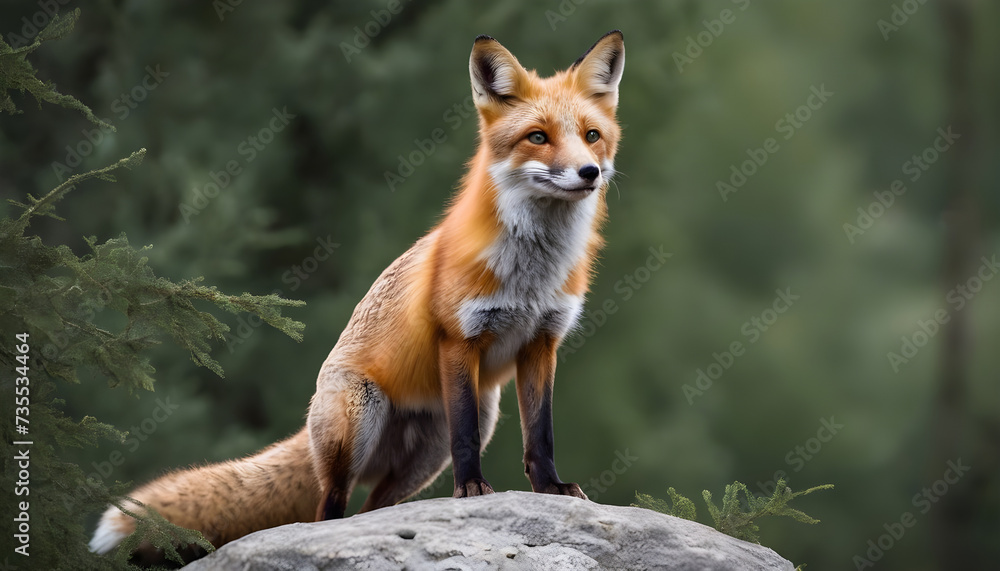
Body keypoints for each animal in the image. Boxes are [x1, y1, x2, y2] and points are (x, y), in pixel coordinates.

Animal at [91, 30, 625, 563]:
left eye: (591, 135)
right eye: (537, 137)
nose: (589, 172)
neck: (532, 275)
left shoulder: (542, 342)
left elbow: (541, 434)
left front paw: (552, 489)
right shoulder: (459, 339)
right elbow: (468, 438)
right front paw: (472, 489)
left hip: (439, 445)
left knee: (374, 508)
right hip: (361, 420)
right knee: (330, 506)